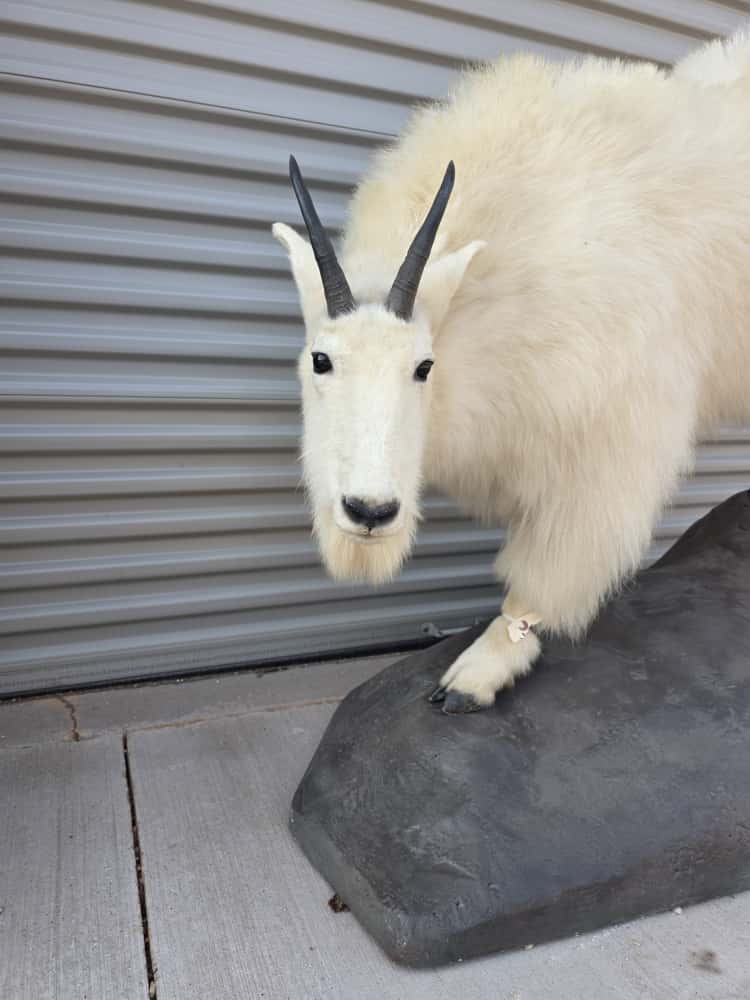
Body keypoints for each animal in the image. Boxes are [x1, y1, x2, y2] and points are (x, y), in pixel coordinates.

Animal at [273, 31, 750, 713]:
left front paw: (480, 671)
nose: (370, 512)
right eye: (321, 359)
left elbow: (550, 567)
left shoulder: (612, 444)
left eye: (424, 366)